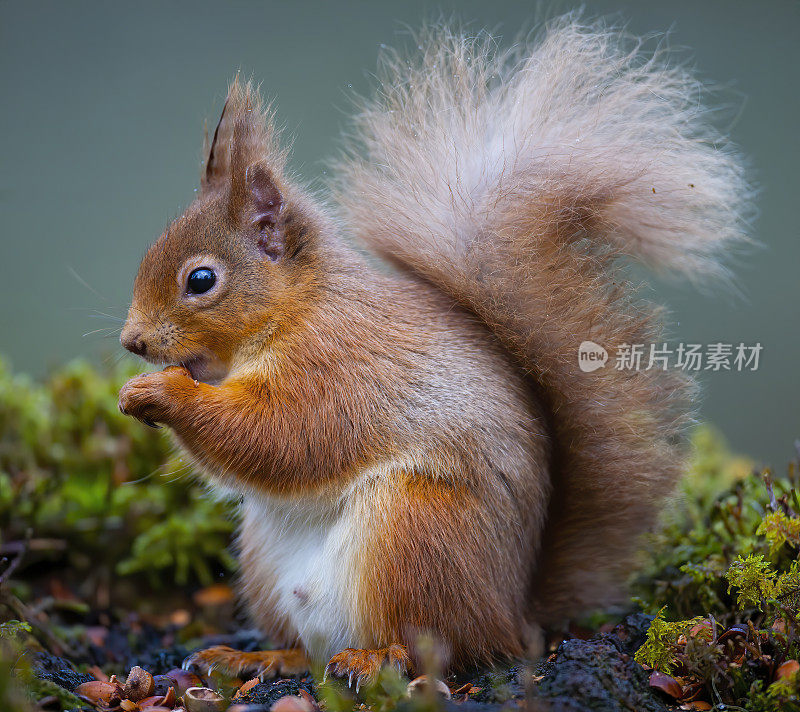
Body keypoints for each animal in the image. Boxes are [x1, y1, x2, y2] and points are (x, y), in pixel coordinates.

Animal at [115, 15, 748, 684]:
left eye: (201, 280)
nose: (132, 341)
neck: (296, 311)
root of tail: (512, 613)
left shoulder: (339, 367)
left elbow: (284, 435)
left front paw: (161, 391)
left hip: (414, 534)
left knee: (440, 645)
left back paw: (376, 658)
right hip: (269, 563)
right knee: (306, 650)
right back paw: (250, 657)